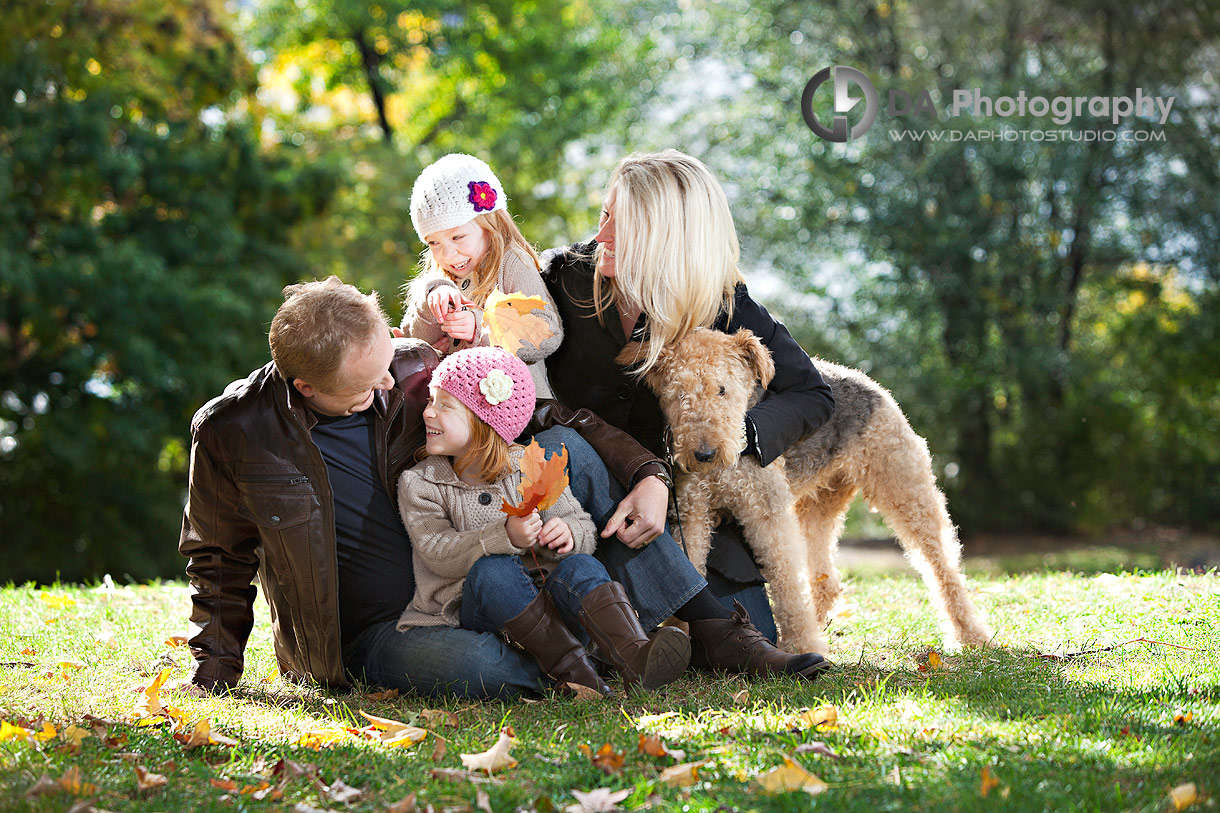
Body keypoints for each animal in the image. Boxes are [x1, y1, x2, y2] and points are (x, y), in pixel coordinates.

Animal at [619, 327, 990, 649]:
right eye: (678, 393)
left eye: (722, 389)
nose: (704, 455)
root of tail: (863, 379)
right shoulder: (692, 514)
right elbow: (693, 571)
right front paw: (682, 634)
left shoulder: (766, 513)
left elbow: (785, 582)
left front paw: (800, 645)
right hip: (818, 507)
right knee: (826, 577)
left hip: (904, 489)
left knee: (942, 566)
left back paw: (970, 634)